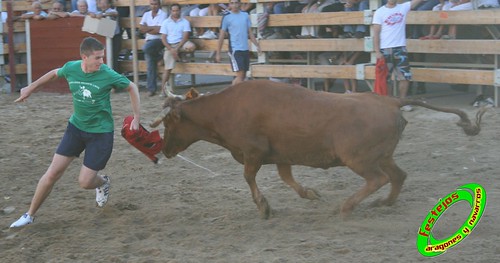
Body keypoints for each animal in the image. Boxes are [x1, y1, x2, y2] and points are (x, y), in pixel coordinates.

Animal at [149, 79, 484, 220]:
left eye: (169, 123)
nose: (165, 150)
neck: (224, 109)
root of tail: (390, 101)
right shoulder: (280, 156)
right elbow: (287, 179)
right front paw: (310, 194)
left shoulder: (253, 153)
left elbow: (249, 178)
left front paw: (264, 207)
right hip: (383, 155)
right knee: (398, 176)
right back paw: (383, 203)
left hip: (359, 158)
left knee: (378, 179)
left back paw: (347, 207)